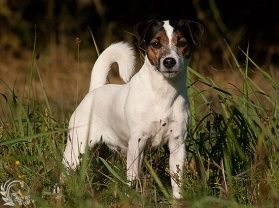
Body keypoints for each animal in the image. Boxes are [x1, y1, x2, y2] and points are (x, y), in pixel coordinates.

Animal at [63, 18, 203, 198]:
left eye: (182, 43)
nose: (169, 62)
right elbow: (132, 178)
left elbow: (176, 180)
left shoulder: (177, 143)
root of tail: (95, 90)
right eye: (156, 44)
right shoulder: (137, 142)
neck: (163, 93)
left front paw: (178, 200)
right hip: (76, 148)